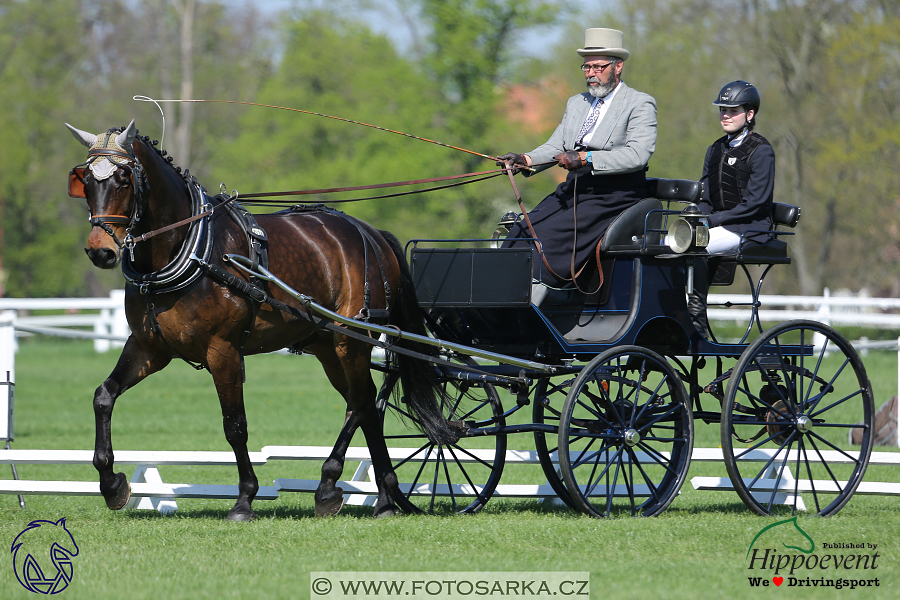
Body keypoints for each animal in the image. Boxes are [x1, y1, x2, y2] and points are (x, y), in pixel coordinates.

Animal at [67, 120, 454, 520]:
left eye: (123, 179)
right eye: (85, 181)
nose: (100, 251)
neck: (191, 248)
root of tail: (372, 233)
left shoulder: (222, 350)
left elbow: (235, 426)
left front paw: (244, 499)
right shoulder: (148, 348)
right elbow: (104, 396)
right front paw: (111, 484)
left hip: (352, 338)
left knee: (362, 402)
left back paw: (344, 488)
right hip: (327, 345)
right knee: (362, 406)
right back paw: (380, 495)